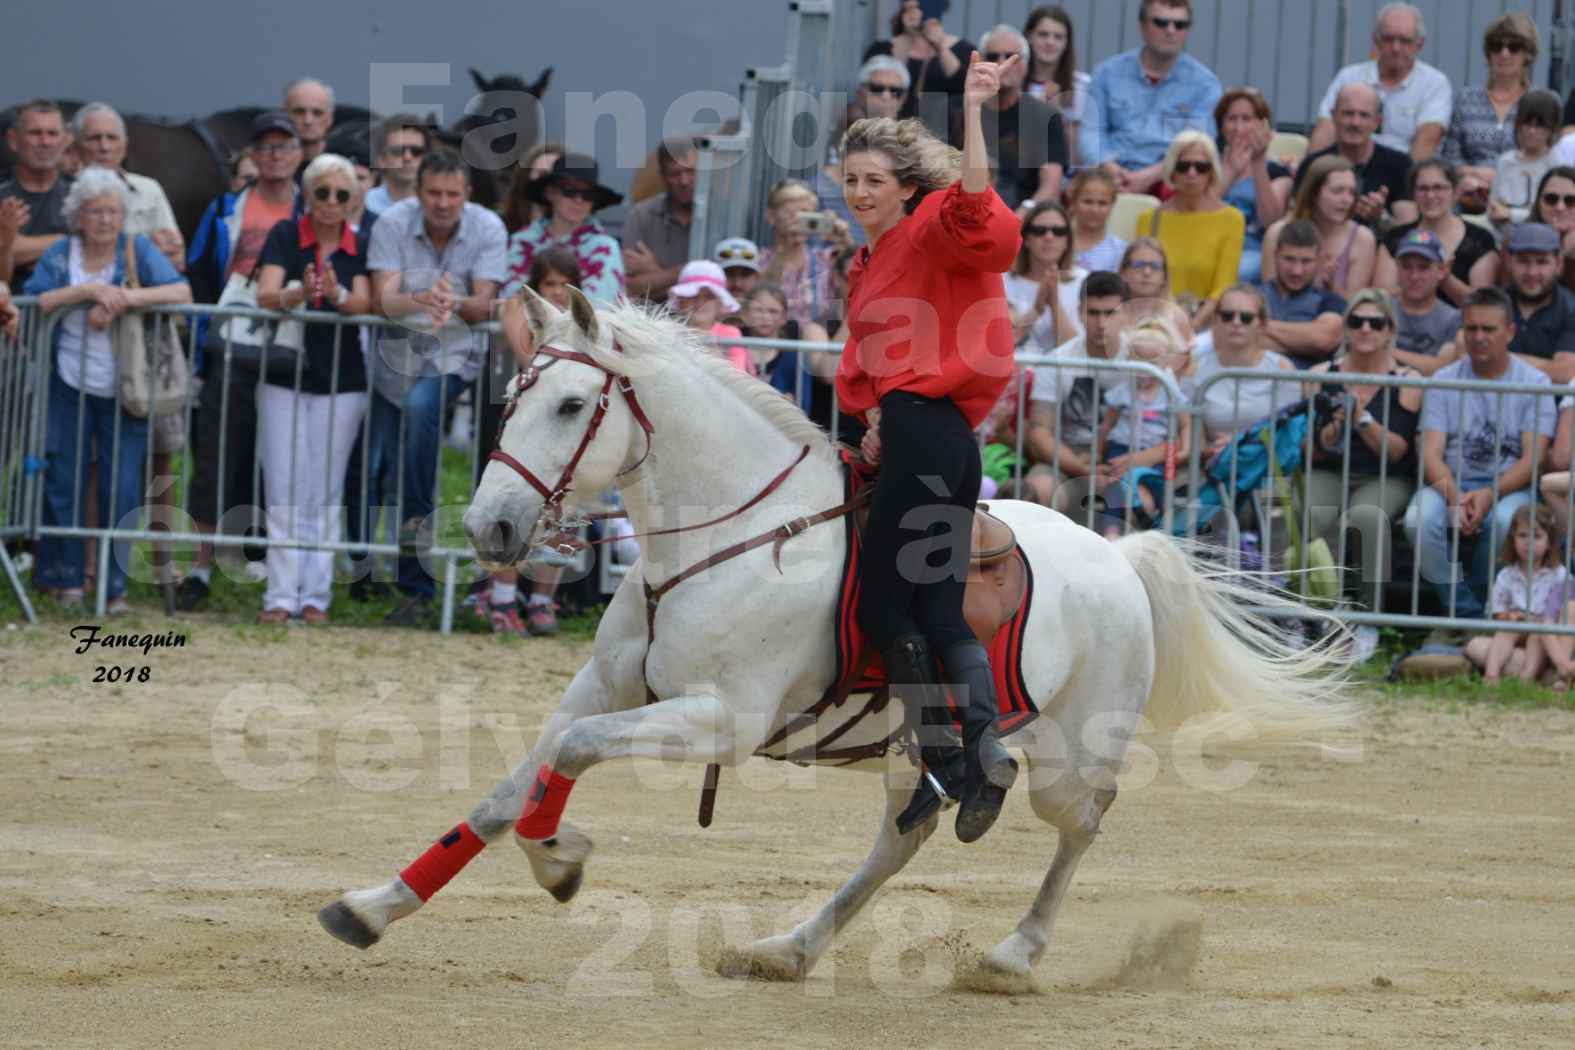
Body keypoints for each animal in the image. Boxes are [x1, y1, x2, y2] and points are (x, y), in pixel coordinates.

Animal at [319, 284, 1354, 976]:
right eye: (510, 400)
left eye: (573, 405)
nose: (490, 529)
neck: (726, 536)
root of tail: (1118, 556)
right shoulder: (604, 689)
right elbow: (510, 789)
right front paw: (375, 906)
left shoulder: (719, 721)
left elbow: (567, 760)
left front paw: (557, 863)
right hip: (920, 746)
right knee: (904, 840)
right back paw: (790, 946)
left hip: (1068, 758)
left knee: (1081, 826)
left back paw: (1014, 954)